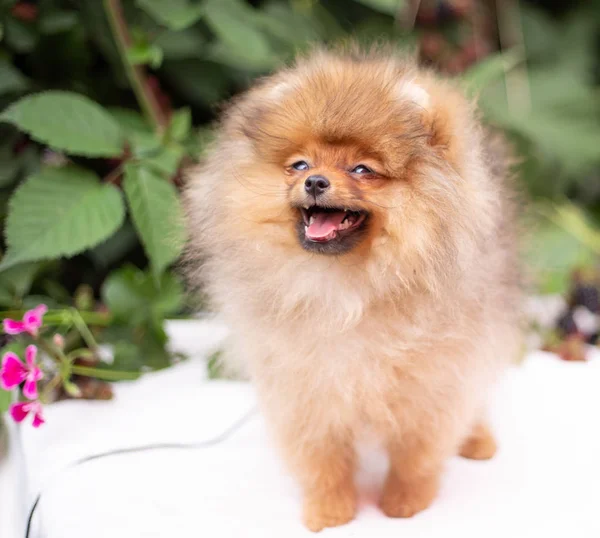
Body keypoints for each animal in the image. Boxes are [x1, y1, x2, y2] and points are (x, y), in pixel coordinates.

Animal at [185, 48, 524, 528]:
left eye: (362, 169)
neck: (347, 287)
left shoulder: (434, 380)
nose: (314, 182)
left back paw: (476, 439)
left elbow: (418, 450)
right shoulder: (302, 384)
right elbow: (321, 457)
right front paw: (330, 509)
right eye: (300, 165)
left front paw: (405, 501)